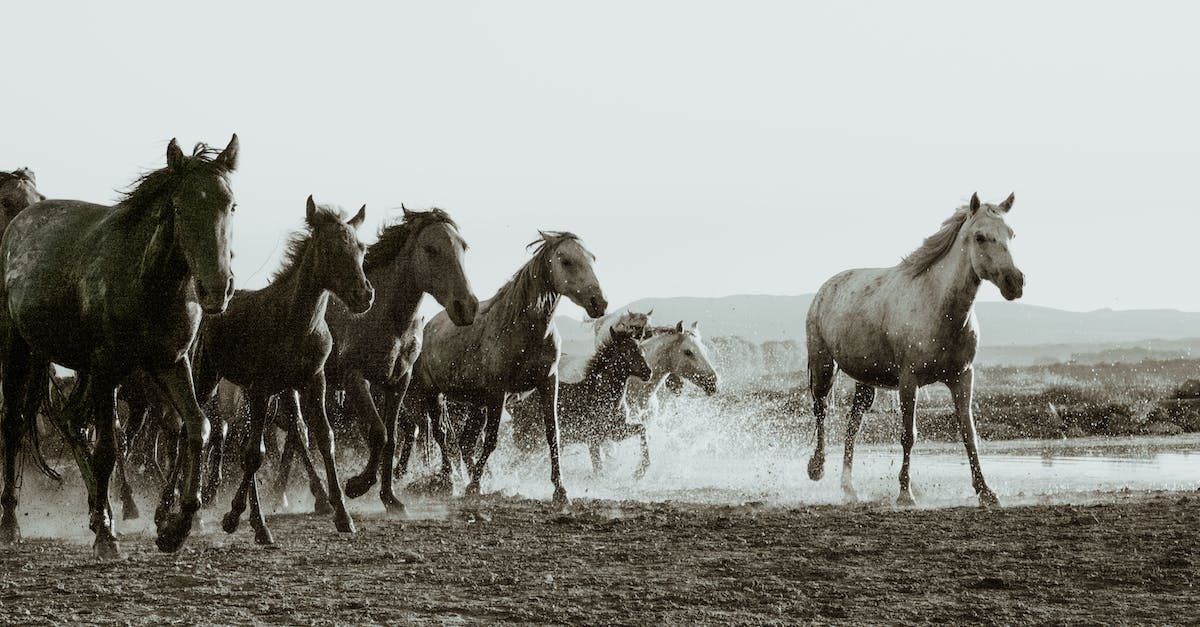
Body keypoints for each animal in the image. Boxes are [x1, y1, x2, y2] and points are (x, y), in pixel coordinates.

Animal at [0, 135, 239, 557]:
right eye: (180, 207)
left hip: (77, 365)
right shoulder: (108, 369)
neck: (147, 283)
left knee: (72, 421)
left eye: (231, 205)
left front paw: (176, 528)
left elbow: (198, 427)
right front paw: (107, 539)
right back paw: (12, 523)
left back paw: (100, 513)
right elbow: (109, 449)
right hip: (19, 349)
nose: (217, 289)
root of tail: (21, 223)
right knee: (14, 423)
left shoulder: (171, 362)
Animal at [188, 196, 373, 544]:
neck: (297, 323)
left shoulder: (313, 382)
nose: (364, 295)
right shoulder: (260, 388)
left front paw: (343, 514)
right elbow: (253, 455)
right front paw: (239, 518)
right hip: (208, 377)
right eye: (328, 248)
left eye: (361, 247)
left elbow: (324, 438)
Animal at [406, 231, 607, 506]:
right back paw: (449, 481)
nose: (599, 302)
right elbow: (491, 440)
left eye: (592, 258)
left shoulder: (548, 383)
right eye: (566, 261)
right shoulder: (498, 391)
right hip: (434, 393)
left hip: (477, 403)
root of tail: (427, 327)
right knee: (442, 434)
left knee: (465, 442)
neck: (524, 329)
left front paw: (560, 490)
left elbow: (553, 436)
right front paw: (474, 486)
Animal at [508, 327, 651, 474]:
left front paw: (640, 470)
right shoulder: (593, 439)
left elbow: (642, 428)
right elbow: (598, 469)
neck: (607, 399)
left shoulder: (614, 432)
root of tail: (516, 405)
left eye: (641, 350)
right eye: (626, 352)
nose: (648, 372)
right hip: (532, 442)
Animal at [806, 192, 1024, 508]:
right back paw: (817, 468)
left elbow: (969, 434)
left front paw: (986, 492)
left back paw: (849, 488)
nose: (1015, 282)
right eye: (980, 237)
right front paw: (905, 494)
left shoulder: (962, 378)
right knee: (821, 411)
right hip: (823, 366)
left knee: (853, 424)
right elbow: (909, 435)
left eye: (1011, 233)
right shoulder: (909, 381)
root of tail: (826, 288)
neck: (940, 308)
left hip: (866, 381)